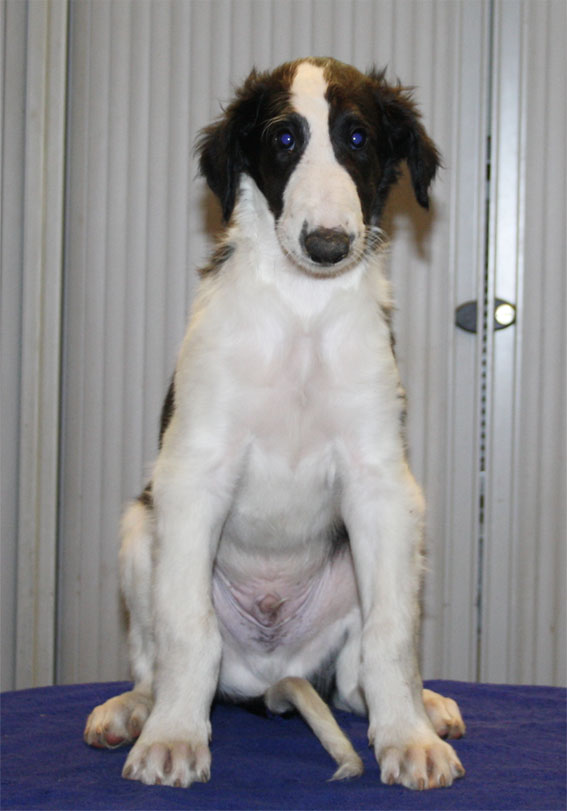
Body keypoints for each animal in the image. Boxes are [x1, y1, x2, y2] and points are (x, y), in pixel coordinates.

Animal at [84, 57, 466, 790]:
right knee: (153, 652)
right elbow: (186, 628)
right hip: (140, 531)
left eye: (357, 138)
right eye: (283, 139)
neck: (302, 308)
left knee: (354, 677)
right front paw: (174, 736)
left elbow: (392, 634)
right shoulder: (193, 474)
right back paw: (138, 709)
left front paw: (407, 737)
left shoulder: (381, 485)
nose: (328, 245)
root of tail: (267, 675)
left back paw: (422, 707)